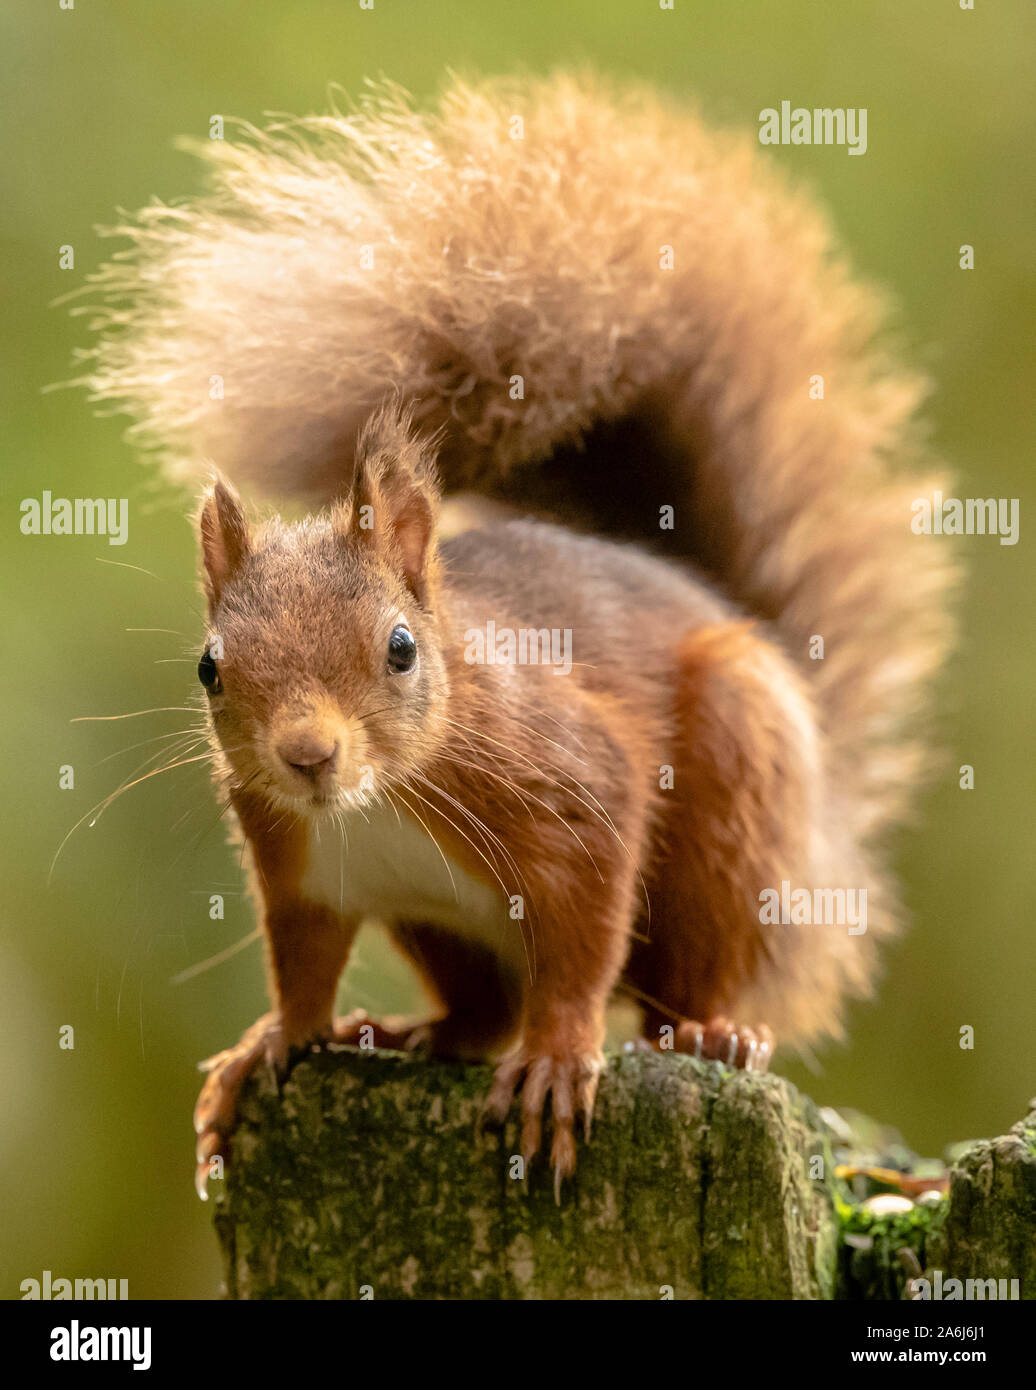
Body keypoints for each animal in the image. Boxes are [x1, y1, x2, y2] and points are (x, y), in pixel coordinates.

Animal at [80, 73, 951, 1195]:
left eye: (401, 648)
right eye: (210, 669)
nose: (307, 754)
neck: (380, 798)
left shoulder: (575, 785)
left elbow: (583, 940)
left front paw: (558, 1057)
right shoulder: (295, 863)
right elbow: (301, 960)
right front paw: (272, 1041)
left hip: (737, 786)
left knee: (685, 977)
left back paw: (708, 1034)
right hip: (435, 924)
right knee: (483, 1009)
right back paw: (413, 1032)